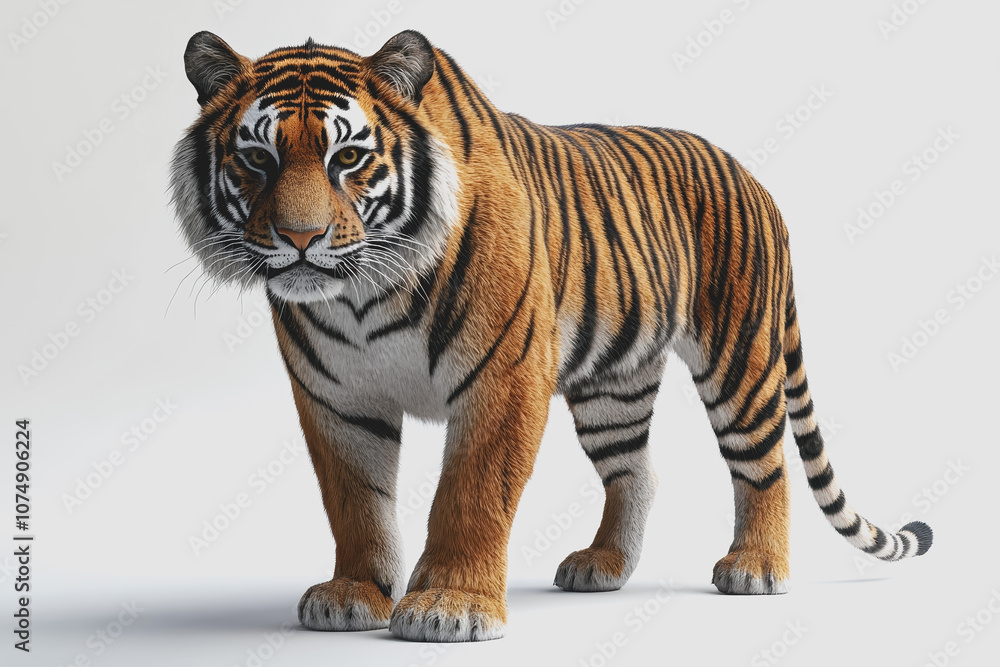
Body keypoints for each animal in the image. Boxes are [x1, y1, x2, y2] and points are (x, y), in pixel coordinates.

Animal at [170, 29, 933, 642]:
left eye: (349, 158)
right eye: (258, 159)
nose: (301, 239)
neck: (362, 294)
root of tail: (754, 179)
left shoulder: (501, 376)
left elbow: (472, 494)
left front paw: (450, 604)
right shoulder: (336, 398)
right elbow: (355, 501)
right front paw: (356, 593)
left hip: (737, 358)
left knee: (764, 462)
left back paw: (756, 566)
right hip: (612, 386)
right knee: (638, 470)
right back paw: (605, 564)